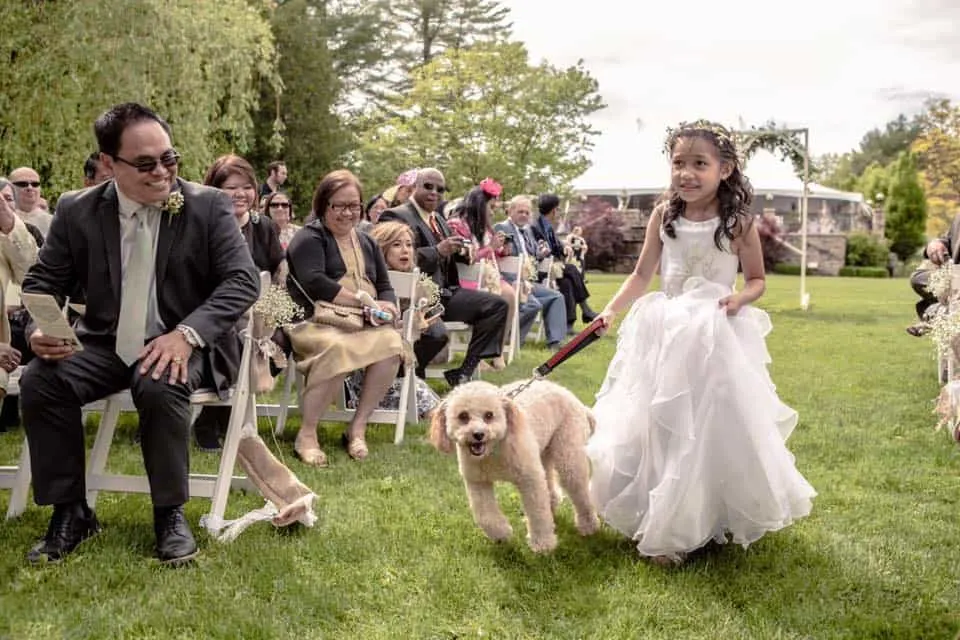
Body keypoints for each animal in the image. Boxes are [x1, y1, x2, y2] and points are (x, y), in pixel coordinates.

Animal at [430, 378, 596, 552]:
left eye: (489, 415)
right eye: (463, 416)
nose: (478, 434)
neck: (493, 451)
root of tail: (579, 404)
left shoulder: (530, 479)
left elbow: (537, 512)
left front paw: (543, 544)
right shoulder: (477, 482)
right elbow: (484, 515)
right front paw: (501, 533)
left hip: (569, 458)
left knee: (580, 492)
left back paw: (588, 525)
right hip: (543, 455)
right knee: (551, 487)